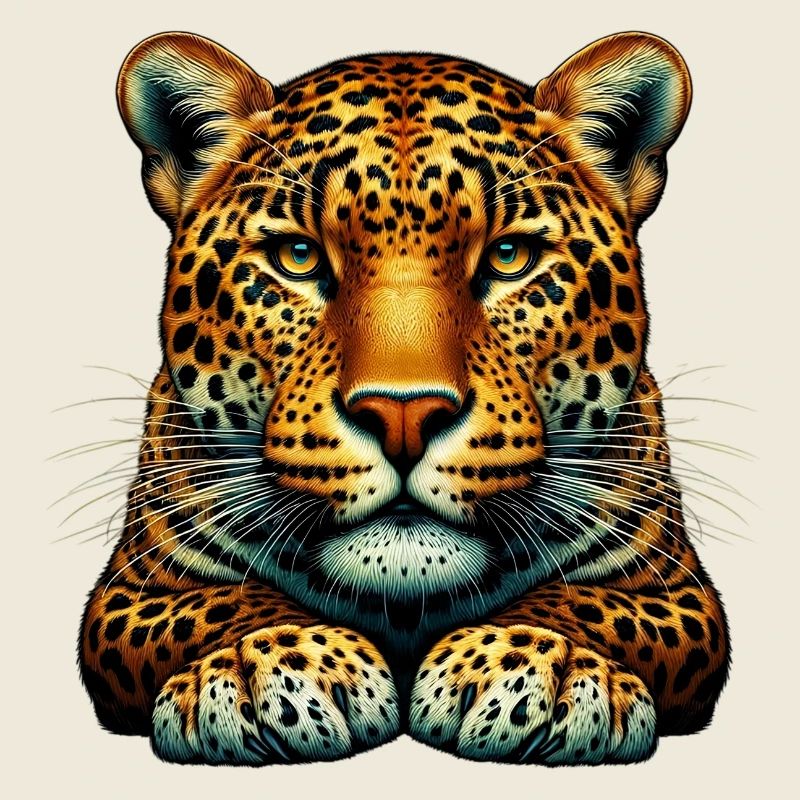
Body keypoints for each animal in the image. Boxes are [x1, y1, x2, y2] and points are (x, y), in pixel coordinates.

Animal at [79, 30, 730, 765]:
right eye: (298, 255)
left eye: (509, 256)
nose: (403, 415)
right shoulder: (132, 591)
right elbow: (222, 603)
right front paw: (274, 666)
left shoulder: (675, 590)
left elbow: (585, 602)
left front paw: (535, 667)